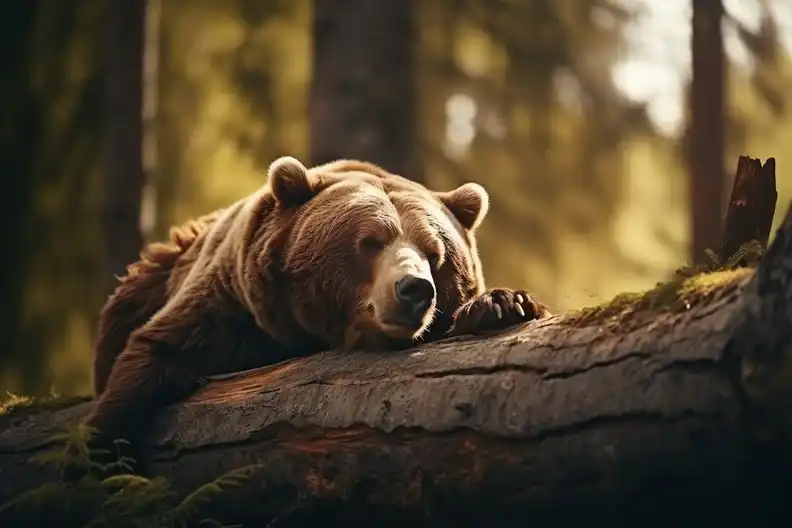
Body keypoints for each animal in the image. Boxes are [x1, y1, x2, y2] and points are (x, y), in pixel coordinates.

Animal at [85, 156, 549, 460]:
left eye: (435, 253)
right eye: (370, 242)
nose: (415, 289)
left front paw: (502, 304)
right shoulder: (227, 306)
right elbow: (154, 352)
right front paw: (98, 447)